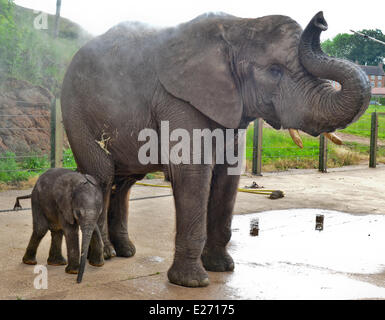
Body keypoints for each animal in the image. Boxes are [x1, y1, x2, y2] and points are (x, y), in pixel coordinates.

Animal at [61, 11, 370, 288]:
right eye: (274, 70)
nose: (321, 20)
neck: (239, 26)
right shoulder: (178, 101)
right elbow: (194, 173)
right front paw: (192, 283)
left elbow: (228, 176)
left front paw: (222, 268)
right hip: (77, 114)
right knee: (102, 175)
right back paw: (103, 257)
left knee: (124, 182)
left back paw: (124, 252)